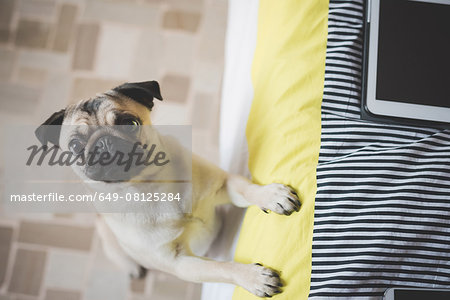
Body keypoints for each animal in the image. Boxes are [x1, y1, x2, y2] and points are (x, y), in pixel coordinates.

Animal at [35, 80, 300, 298]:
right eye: (75, 145)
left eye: (130, 123)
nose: (105, 142)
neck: (149, 186)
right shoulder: (180, 263)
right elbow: (220, 268)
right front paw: (252, 277)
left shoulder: (223, 184)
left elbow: (247, 190)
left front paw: (270, 195)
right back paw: (133, 268)